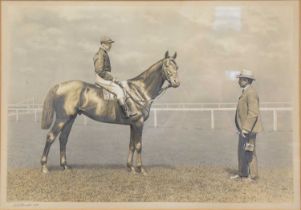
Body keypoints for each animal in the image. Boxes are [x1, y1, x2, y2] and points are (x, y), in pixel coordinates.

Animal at [40, 50, 179, 174]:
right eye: (167, 66)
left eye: (177, 67)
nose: (177, 83)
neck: (139, 90)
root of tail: (60, 85)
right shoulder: (139, 123)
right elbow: (139, 145)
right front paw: (141, 169)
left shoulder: (133, 124)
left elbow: (131, 145)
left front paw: (130, 167)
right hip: (62, 119)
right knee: (51, 136)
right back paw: (44, 167)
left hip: (70, 118)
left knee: (63, 138)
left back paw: (65, 166)